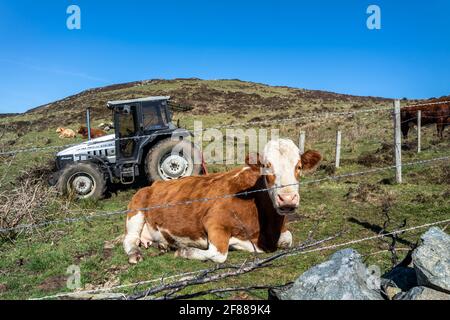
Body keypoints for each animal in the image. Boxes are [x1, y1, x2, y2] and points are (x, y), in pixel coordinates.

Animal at [121, 139, 322, 264]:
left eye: (299, 166)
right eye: (266, 166)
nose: (287, 199)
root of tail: (154, 184)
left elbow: (288, 239)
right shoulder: (214, 222)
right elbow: (219, 254)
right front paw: (184, 251)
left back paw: (162, 245)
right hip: (136, 211)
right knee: (130, 239)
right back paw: (135, 254)